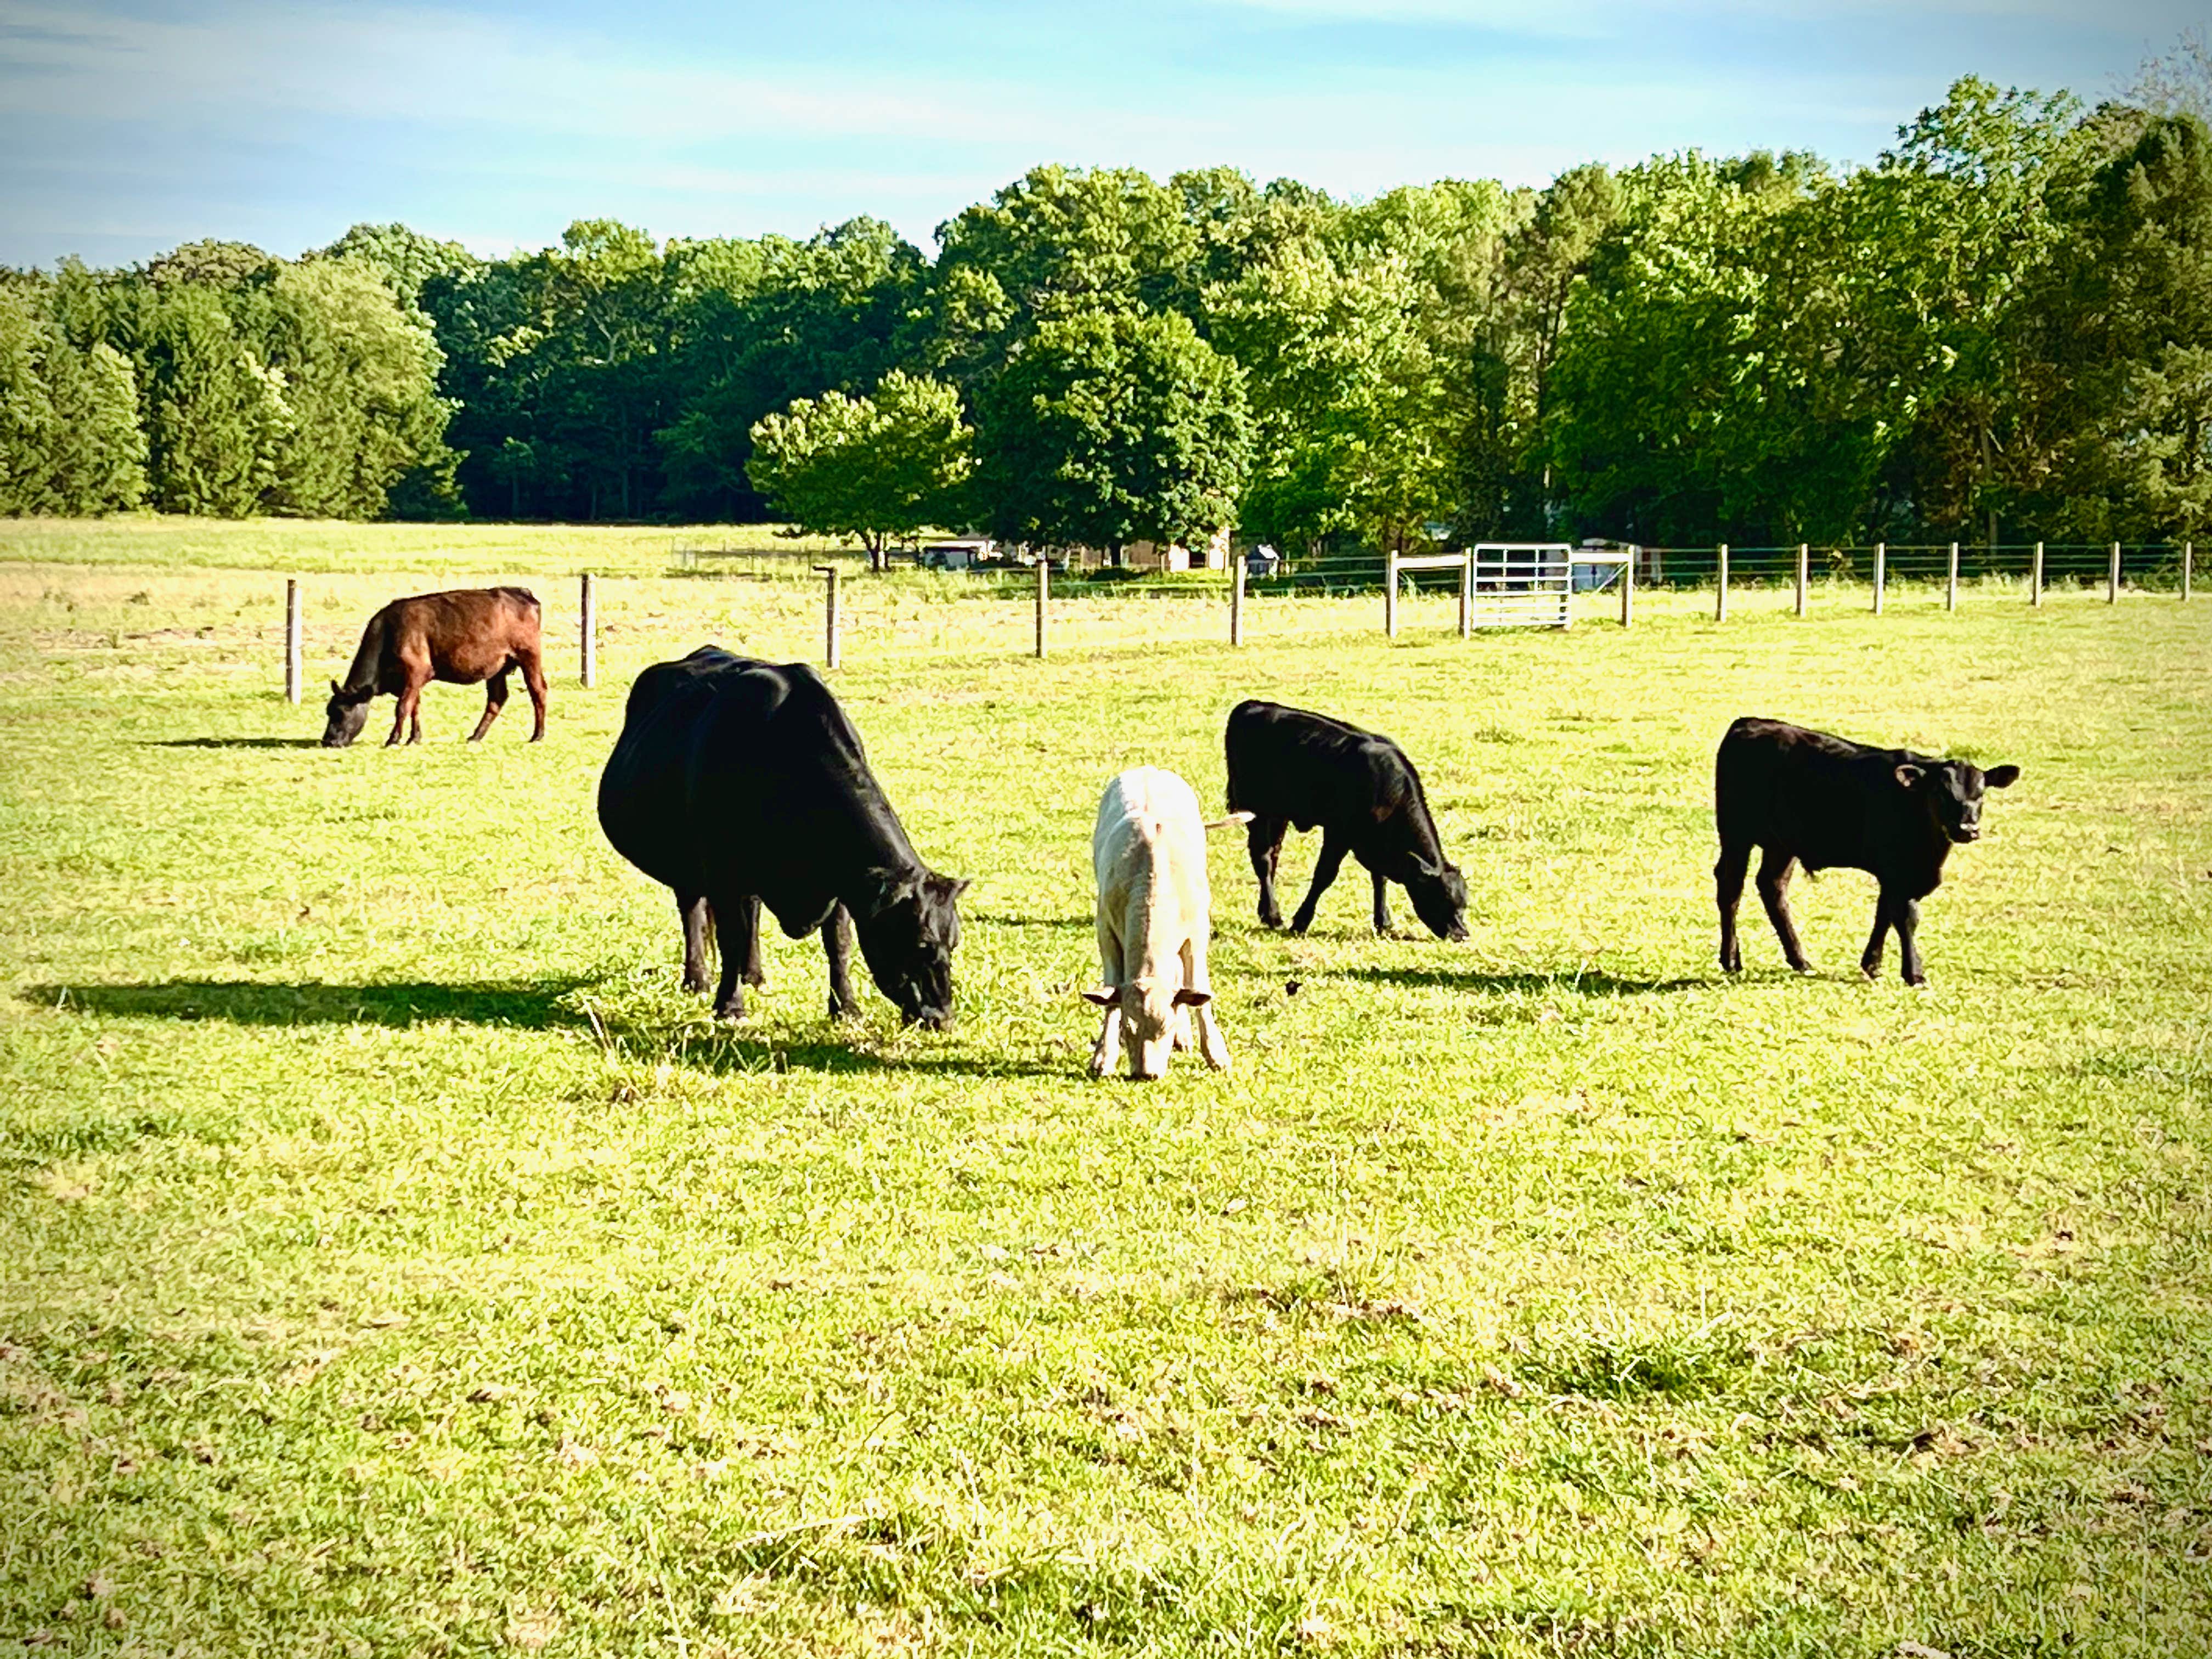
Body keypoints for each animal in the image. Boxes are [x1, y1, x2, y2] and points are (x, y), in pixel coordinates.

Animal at [323, 588, 550, 752]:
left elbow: (402, 707)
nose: (328, 741)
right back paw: (475, 736)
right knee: (497, 699)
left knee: (538, 690)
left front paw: (393, 739)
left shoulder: (417, 671)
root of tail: (522, 593)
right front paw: (414, 738)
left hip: (529, 656)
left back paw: (537, 736)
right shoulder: (411, 681)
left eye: (342, 713)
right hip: (497, 668)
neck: (390, 632)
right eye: (329, 711)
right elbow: (415, 707)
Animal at [597, 646, 969, 1026]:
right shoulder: (721, 871)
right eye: (921, 942)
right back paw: (697, 979)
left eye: (953, 942)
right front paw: (730, 1005)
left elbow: (839, 942)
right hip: (685, 861)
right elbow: (730, 937)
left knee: (752, 910)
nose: (943, 1017)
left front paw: (845, 1007)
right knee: (693, 912)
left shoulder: (843, 878)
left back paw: (754, 975)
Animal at [1088, 765, 1248, 1079]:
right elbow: (1111, 990)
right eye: (1128, 1027)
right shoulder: (1105, 927)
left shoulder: (1198, 931)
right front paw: (1104, 1056)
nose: (1146, 1074)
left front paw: (1216, 1054)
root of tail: (1149, 768)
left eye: (1165, 1026)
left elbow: (1197, 985)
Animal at [1229, 695, 1469, 942]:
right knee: (1263, 859)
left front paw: (1383, 922)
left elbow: (1379, 878)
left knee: (1273, 855)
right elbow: (1324, 875)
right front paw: (1301, 922)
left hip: (1279, 814)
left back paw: (1266, 913)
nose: (1462, 934)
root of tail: (1252, 705)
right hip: (1255, 810)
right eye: (1441, 898)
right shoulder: (1338, 833)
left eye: (1464, 905)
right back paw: (1274, 916)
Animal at [1707, 716, 2026, 986]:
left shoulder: (1897, 875)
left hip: (1781, 844)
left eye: (1981, 794)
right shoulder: (1896, 870)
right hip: (1736, 835)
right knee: (1731, 888)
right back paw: (1731, 960)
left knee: (1772, 887)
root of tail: (1748, 723)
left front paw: (1872, 964)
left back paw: (1800, 960)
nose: (1967, 828)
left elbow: (1884, 913)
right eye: (1942, 792)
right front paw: (1914, 974)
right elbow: (1906, 916)